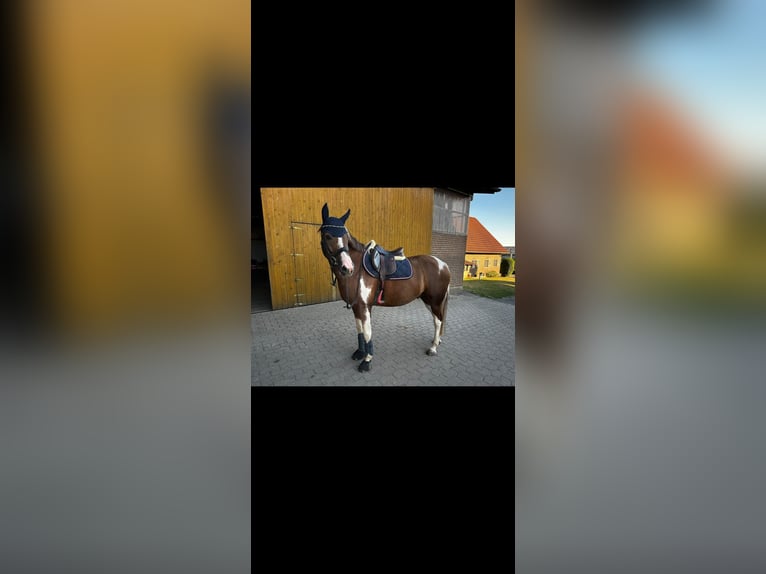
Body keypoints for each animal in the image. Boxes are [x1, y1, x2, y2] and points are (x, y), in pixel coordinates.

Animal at [318, 203, 451, 372]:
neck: (358, 270)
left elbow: (367, 333)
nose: (347, 268)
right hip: (429, 301)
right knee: (438, 320)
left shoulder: (363, 307)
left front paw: (367, 361)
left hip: (434, 301)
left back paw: (433, 348)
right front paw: (360, 353)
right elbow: (359, 330)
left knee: (438, 321)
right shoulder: (357, 307)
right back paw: (437, 340)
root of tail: (443, 264)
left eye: (346, 238)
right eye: (328, 236)